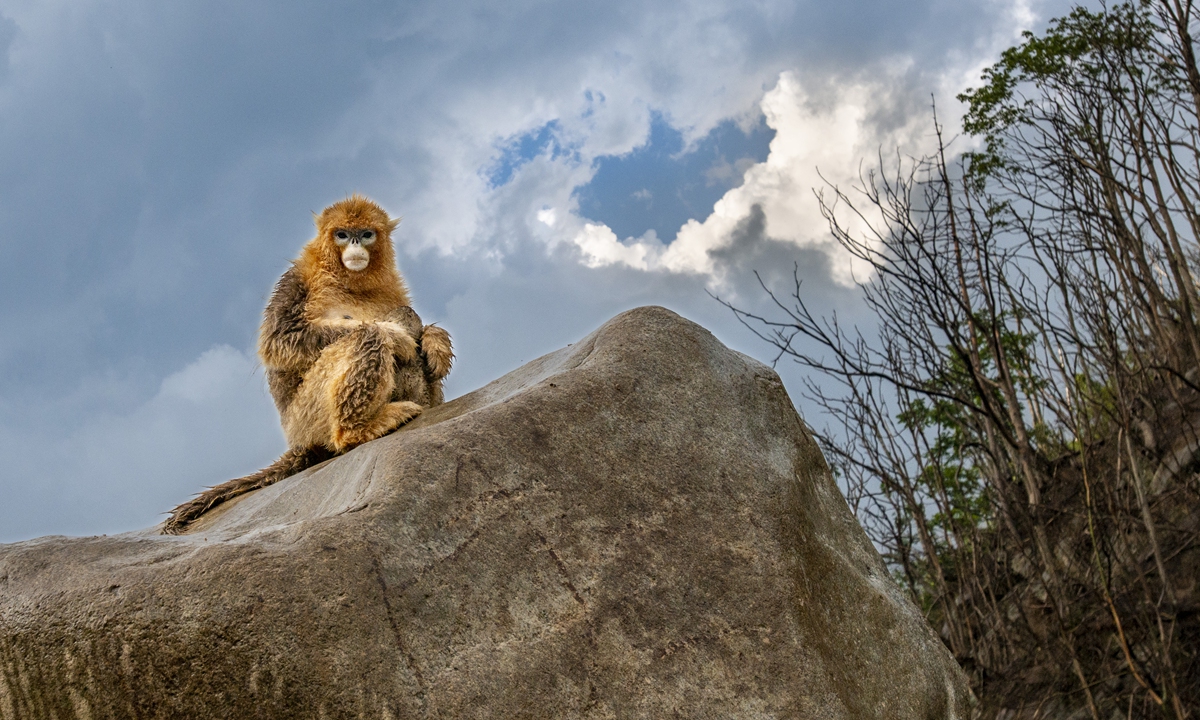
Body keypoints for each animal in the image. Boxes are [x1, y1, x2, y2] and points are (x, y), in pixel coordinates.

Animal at [163, 195, 452, 534]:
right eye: (342, 234)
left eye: (366, 234)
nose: (355, 244)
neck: (349, 281)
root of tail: (299, 442)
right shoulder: (298, 277)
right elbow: (280, 340)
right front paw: (397, 335)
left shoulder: (394, 285)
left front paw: (436, 341)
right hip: (307, 417)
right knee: (369, 335)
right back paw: (357, 429)